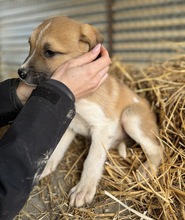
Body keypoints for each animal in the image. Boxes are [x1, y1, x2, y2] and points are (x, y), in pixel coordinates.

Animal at [18, 16, 163, 207]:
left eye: (49, 52)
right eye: (30, 46)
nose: (20, 72)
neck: (78, 98)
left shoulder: (103, 126)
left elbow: (92, 160)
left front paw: (83, 189)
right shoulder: (69, 123)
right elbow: (56, 148)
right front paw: (44, 167)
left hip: (130, 117)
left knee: (157, 149)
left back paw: (145, 171)